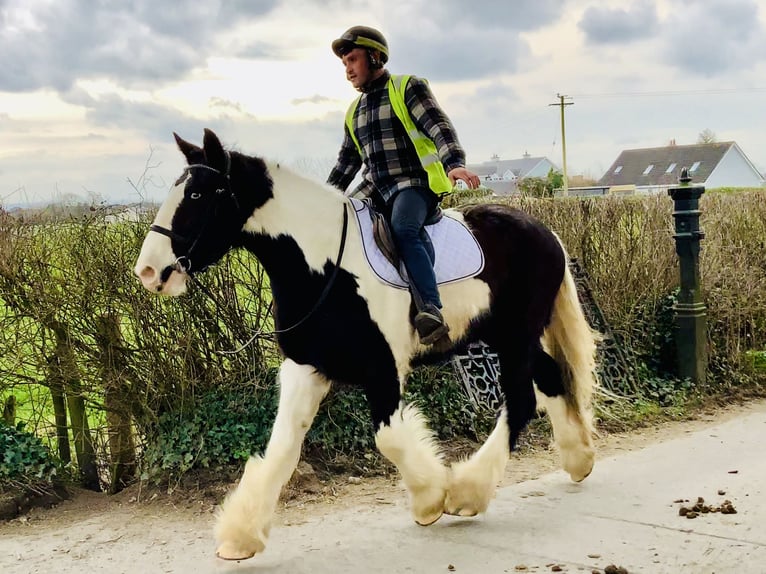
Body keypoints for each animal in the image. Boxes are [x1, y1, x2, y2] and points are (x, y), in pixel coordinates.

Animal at [135, 129, 604, 564]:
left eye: (196, 193)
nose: (149, 271)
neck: (323, 268)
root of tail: (546, 233)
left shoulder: (384, 369)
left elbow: (390, 438)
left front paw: (432, 497)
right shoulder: (305, 368)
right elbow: (282, 448)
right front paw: (240, 535)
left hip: (516, 337)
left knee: (521, 400)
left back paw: (468, 492)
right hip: (504, 336)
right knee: (549, 379)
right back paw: (579, 460)